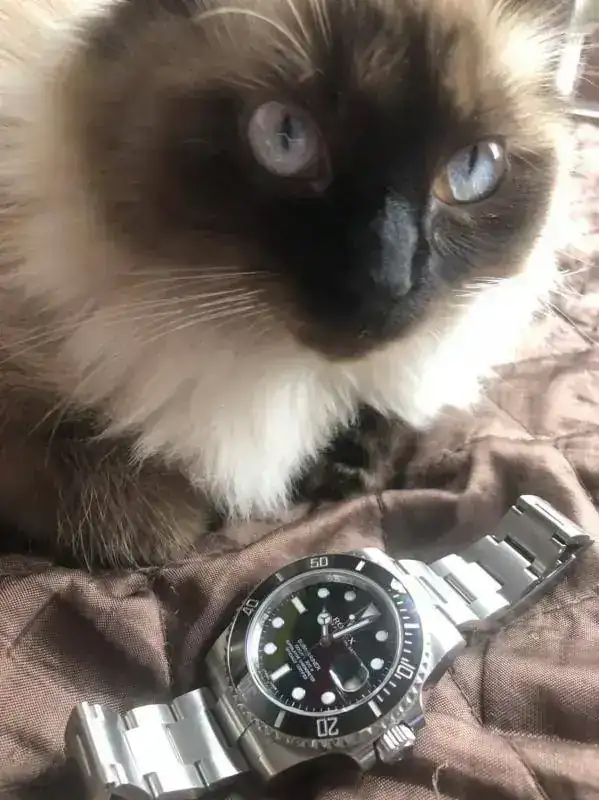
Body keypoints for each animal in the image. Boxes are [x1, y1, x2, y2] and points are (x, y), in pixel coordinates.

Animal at [0, 0, 574, 566]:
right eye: (286, 137)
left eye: (473, 169)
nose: (388, 280)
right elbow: (147, 526)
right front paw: (208, 513)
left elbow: (394, 422)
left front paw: (346, 468)